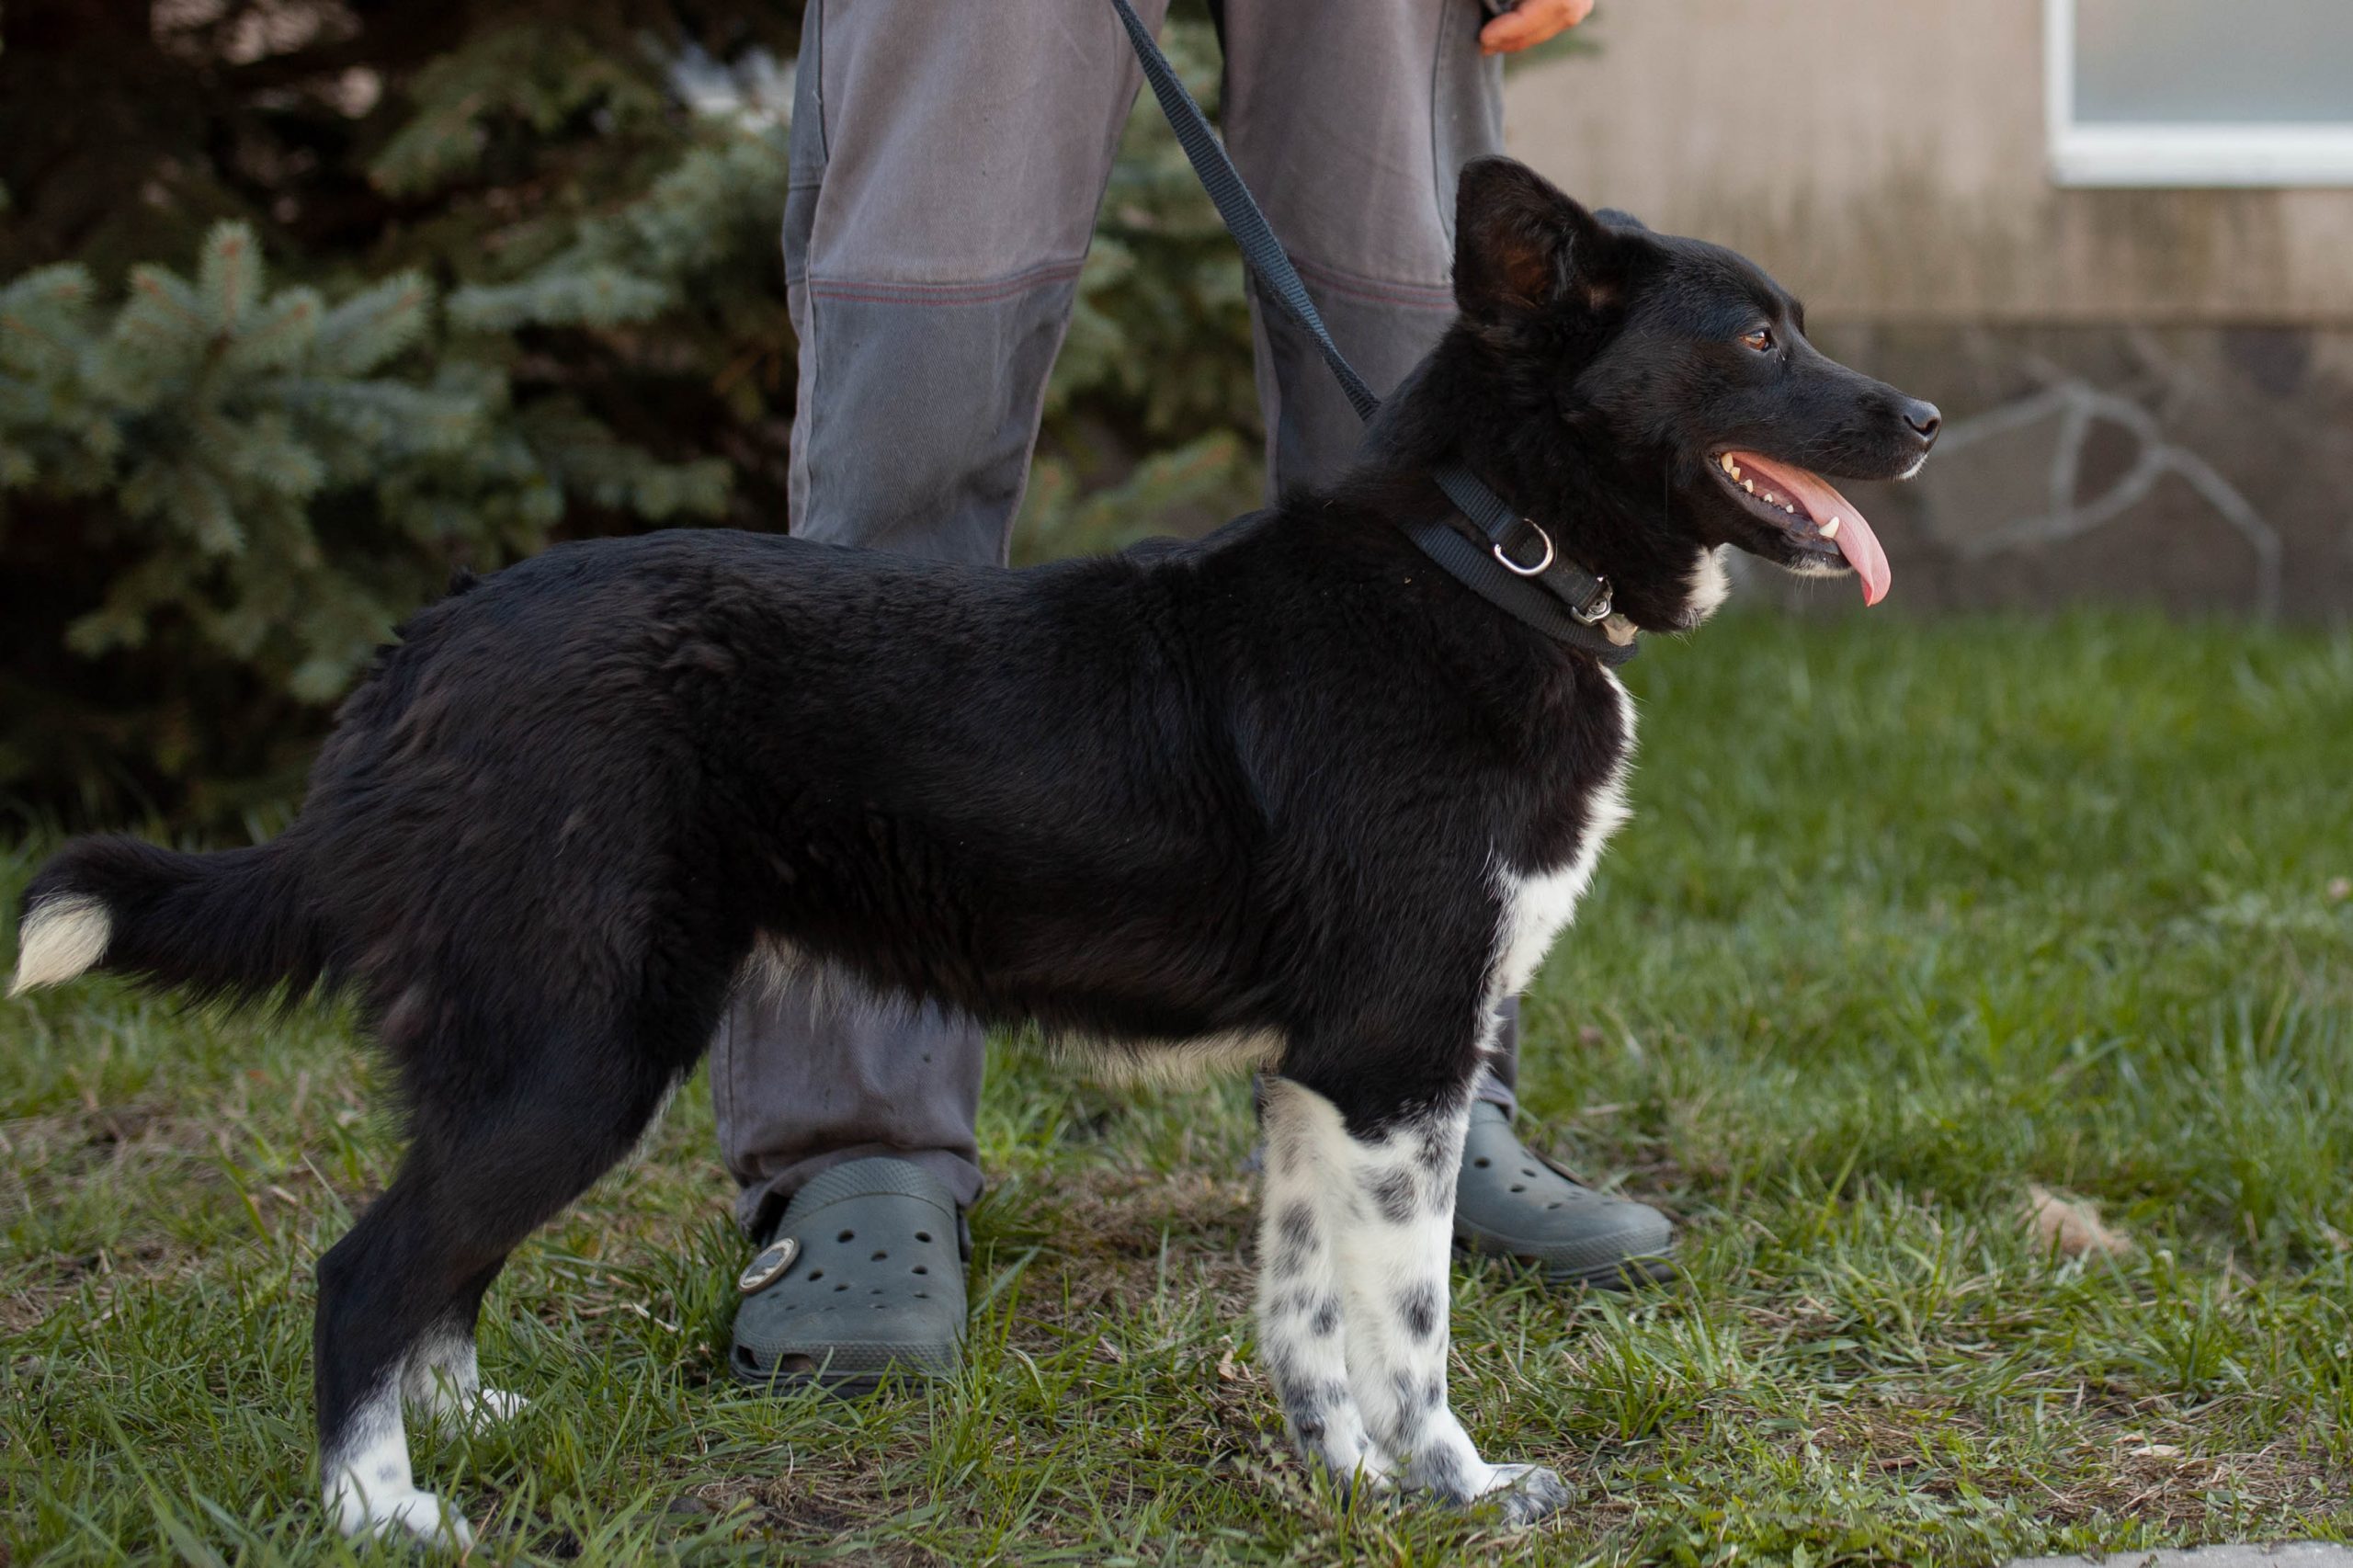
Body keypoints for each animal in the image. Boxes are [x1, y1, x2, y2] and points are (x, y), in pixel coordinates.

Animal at [10, 157, 1938, 1546]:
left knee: (438, 1259)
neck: (1488, 553)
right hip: (583, 1039)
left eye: (1802, 324)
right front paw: (1457, 1495)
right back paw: (387, 1511)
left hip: (540, 1040)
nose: (1922, 423)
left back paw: (474, 1425)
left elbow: (1310, 1317)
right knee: (367, 1271)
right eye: (1753, 342)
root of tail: (428, 646)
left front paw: (1347, 1490)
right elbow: (1409, 1328)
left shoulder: (1328, 1077)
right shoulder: (1397, 1059)